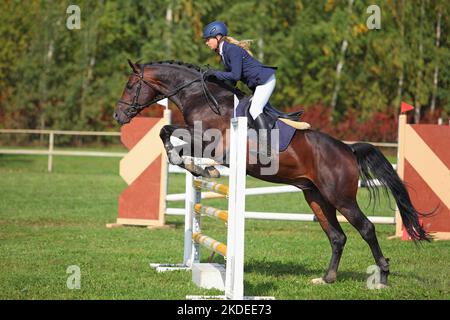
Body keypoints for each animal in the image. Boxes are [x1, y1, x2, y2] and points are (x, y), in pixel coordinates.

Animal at [112, 59, 428, 288]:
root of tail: (348, 150)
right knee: (337, 237)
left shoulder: (213, 143)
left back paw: (383, 277)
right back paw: (326, 279)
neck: (202, 97)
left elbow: (170, 134)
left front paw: (202, 167)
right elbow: (167, 132)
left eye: (129, 85)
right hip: (316, 197)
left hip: (341, 197)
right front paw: (199, 167)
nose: (118, 115)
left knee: (366, 228)